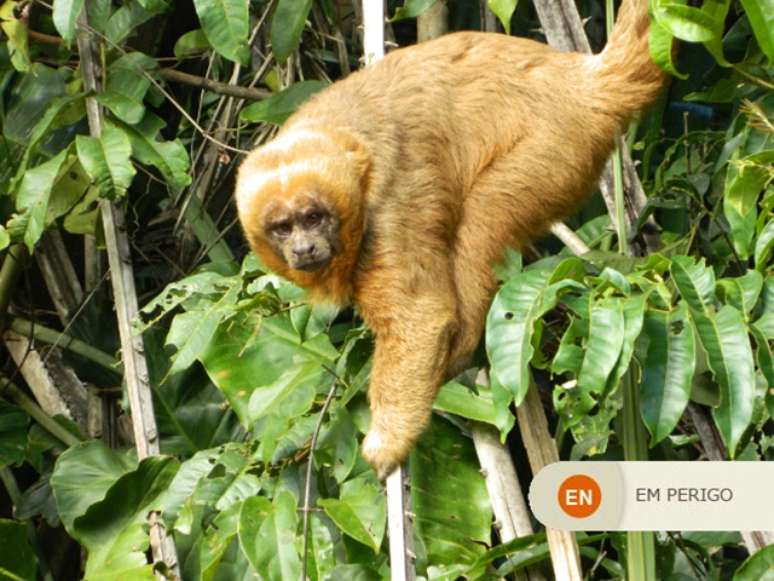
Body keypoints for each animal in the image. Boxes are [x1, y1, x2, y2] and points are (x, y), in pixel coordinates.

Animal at [235, 0, 668, 478]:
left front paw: (388, 441)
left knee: (484, 216)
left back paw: (458, 350)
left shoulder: (388, 206)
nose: (304, 248)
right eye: (283, 227)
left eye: (313, 217)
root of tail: (585, 82)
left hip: (558, 145)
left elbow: (420, 317)